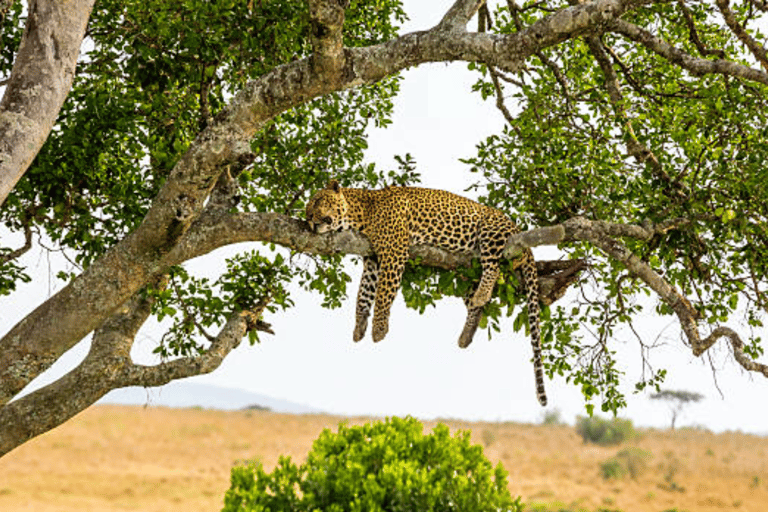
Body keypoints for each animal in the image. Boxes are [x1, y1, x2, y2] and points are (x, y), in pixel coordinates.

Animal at [304, 180, 544, 404]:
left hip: (490, 230)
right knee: (476, 303)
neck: (361, 213)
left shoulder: (394, 252)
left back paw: (482, 294)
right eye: (307, 209)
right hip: (467, 272)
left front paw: (379, 330)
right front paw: (359, 327)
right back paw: (467, 332)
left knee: (494, 266)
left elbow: (382, 295)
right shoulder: (372, 260)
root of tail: (517, 229)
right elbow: (364, 295)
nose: (308, 218)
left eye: (317, 201)